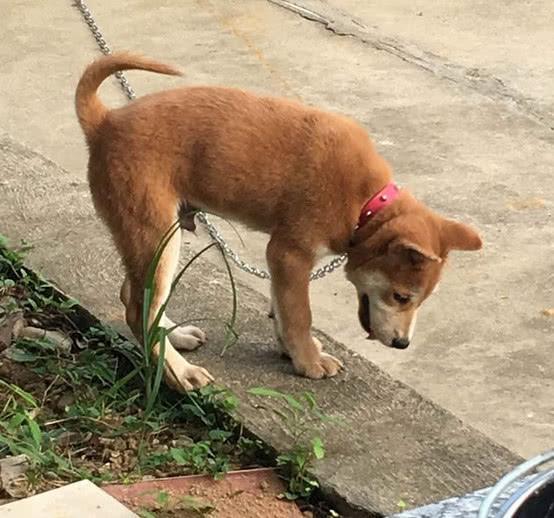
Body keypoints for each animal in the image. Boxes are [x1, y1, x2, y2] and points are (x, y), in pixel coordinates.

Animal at [73, 53, 478, 394]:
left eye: (418, 301)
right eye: (401, 297)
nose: (402, 344)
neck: (366, 204)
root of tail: (105, 122)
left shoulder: (281, 261)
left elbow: (282, 308)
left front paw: (292, 349)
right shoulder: (290, 254)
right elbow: (299, 314)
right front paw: (309, 361)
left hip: (155, 238)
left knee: (135, 297)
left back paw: (176, 336)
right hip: (156, 236)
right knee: (137, 309)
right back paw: (178, 372)